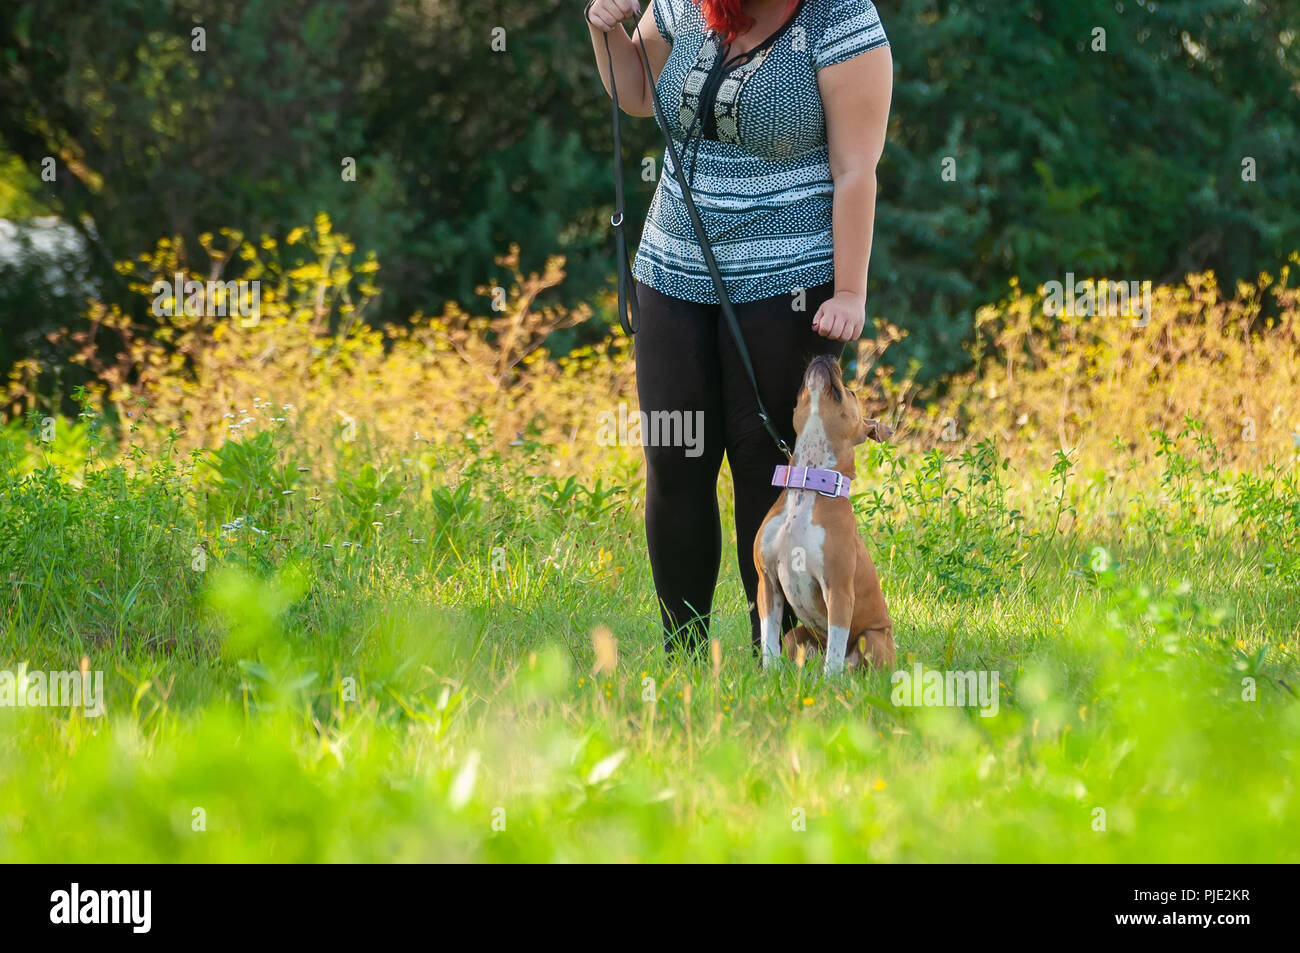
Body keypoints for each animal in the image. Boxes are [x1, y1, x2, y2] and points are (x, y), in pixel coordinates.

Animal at [754, 353, 894, 670]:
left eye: (851, 392)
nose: (826, 356)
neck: (808, 481)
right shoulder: (767, 581)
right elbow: (769, 639)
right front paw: (768, 674)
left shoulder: (839, 591)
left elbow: (836, 650)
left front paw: (831, 680)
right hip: (796, 635)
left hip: (872, 638)